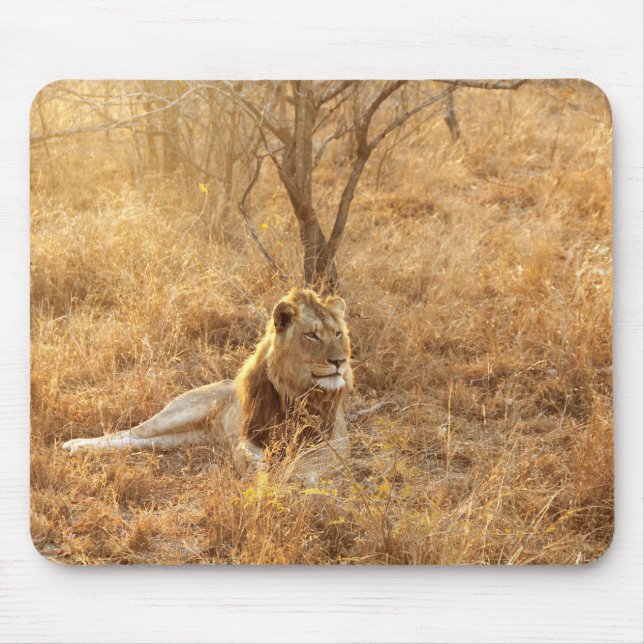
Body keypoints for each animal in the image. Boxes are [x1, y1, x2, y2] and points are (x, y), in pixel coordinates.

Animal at [62, 288, 353, 481]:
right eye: (312, 335)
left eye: (338, 333)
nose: (340, 361)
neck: (298, 390)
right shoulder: (250, 436)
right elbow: (246, 456)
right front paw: (261, 473)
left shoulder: (336, 441)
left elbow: (309, 462)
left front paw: (294, 476)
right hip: (179, 413)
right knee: (129, 432)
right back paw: (75, 445)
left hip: (186, 438)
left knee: (140, 442)